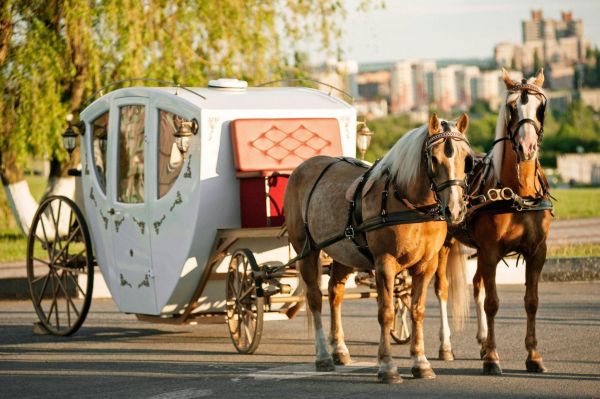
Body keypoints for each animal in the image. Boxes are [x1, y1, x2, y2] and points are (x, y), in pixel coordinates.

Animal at [284, 113, 474, 384]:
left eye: (467, 160)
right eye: (434, 159)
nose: (455, 210)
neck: (411, 205)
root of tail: (304, 166)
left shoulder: (426, 265)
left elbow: (417, 311)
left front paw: (421, 362)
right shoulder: (385, 263)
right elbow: (386, 312)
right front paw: (387, 366)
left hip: (344, 252)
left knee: (335, 294)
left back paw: (339, 350)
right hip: (307, 250)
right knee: (314, 298)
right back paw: (323, 355)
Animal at [436, 69, 552, 376]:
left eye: (540, 107)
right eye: (512, 108)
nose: (527, 147)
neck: (518, 193)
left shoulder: (537, 251)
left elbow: (531, 302)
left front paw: (533, 355)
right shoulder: (490, 251)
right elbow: (492, 303)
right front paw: (492, 358)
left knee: (476, 284)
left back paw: (482, 339)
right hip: (443, 246)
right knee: (442, 289)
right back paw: (446, 346)